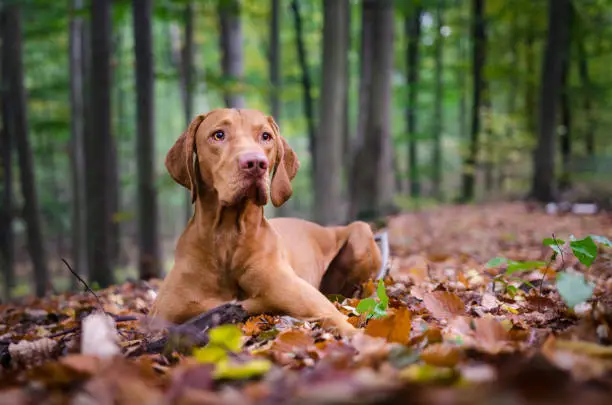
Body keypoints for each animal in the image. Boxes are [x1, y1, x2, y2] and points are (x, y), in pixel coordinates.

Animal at [151, 109, 382, 332]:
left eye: (265, 136)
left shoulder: (318, 307)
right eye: (218, 135)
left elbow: (349, 329)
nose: (255, 163)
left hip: (361, 231)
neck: (228, 237)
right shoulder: (161, 318)